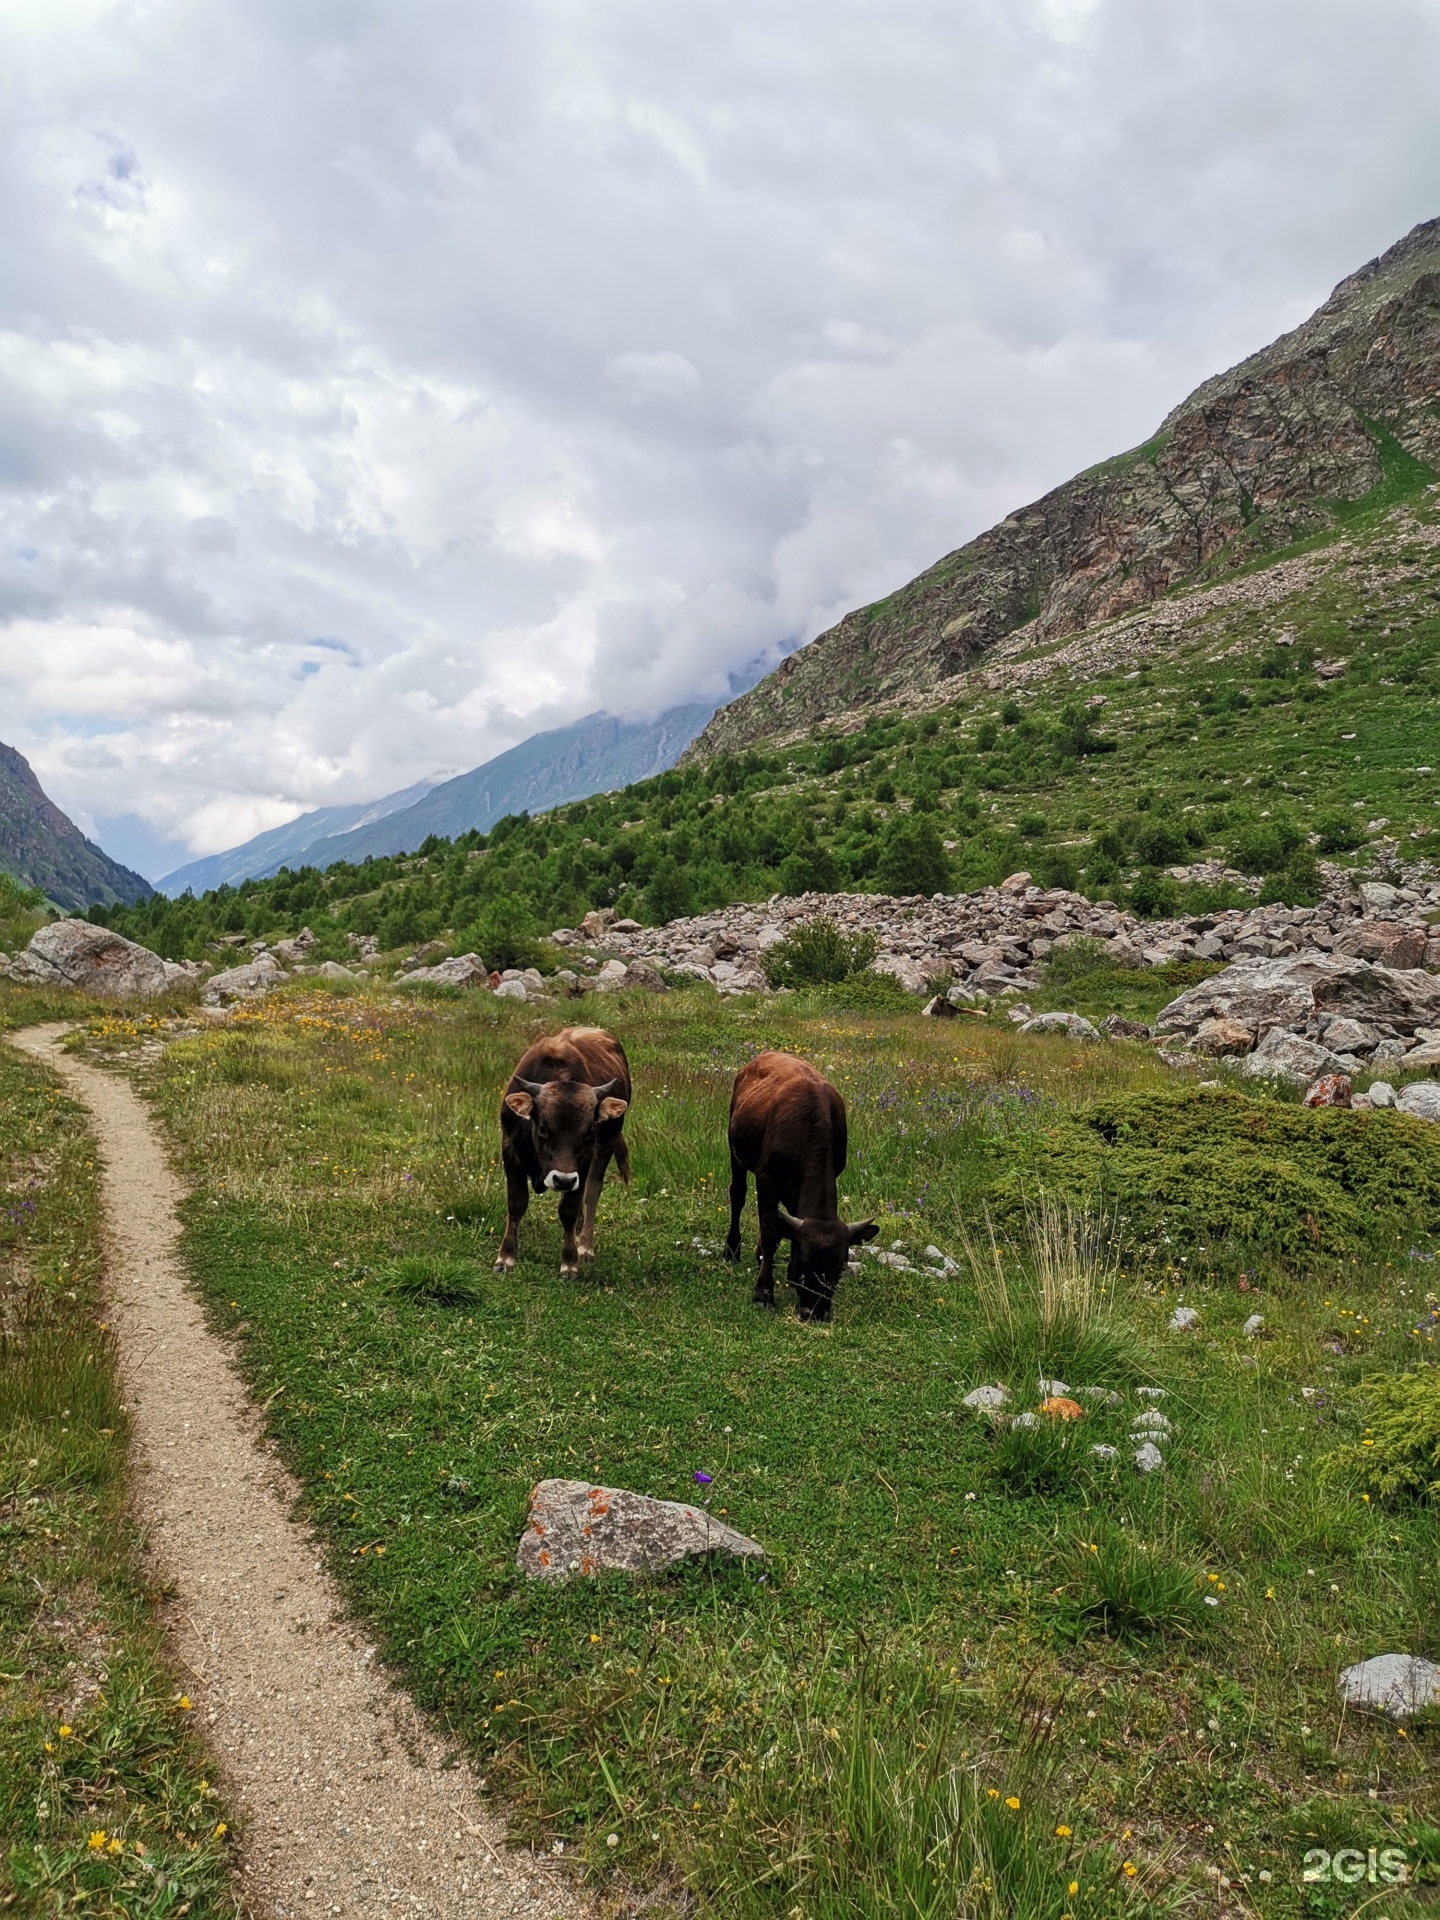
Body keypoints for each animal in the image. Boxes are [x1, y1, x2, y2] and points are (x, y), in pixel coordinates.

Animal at [495, 1029, 629, 1282]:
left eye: (588, 1132)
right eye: (543, 1128)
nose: (563, 1180)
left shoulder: (584, 1162)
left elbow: (569, 1209)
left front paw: (569, 1262)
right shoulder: (510, 1151)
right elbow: (516, 1204)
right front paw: (506, 1258)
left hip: (605, 1147)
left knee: (591, 1193)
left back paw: (584, 1245)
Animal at [721, 1052, 879, 1320]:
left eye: (839, 1270)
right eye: (804, 1264)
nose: (814, 1313)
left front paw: (788, 1277)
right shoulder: (766, 1178)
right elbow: (771, 1232)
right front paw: (764, 1292)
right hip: (736, 1152)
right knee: (738, 1195)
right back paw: (732, 1250)